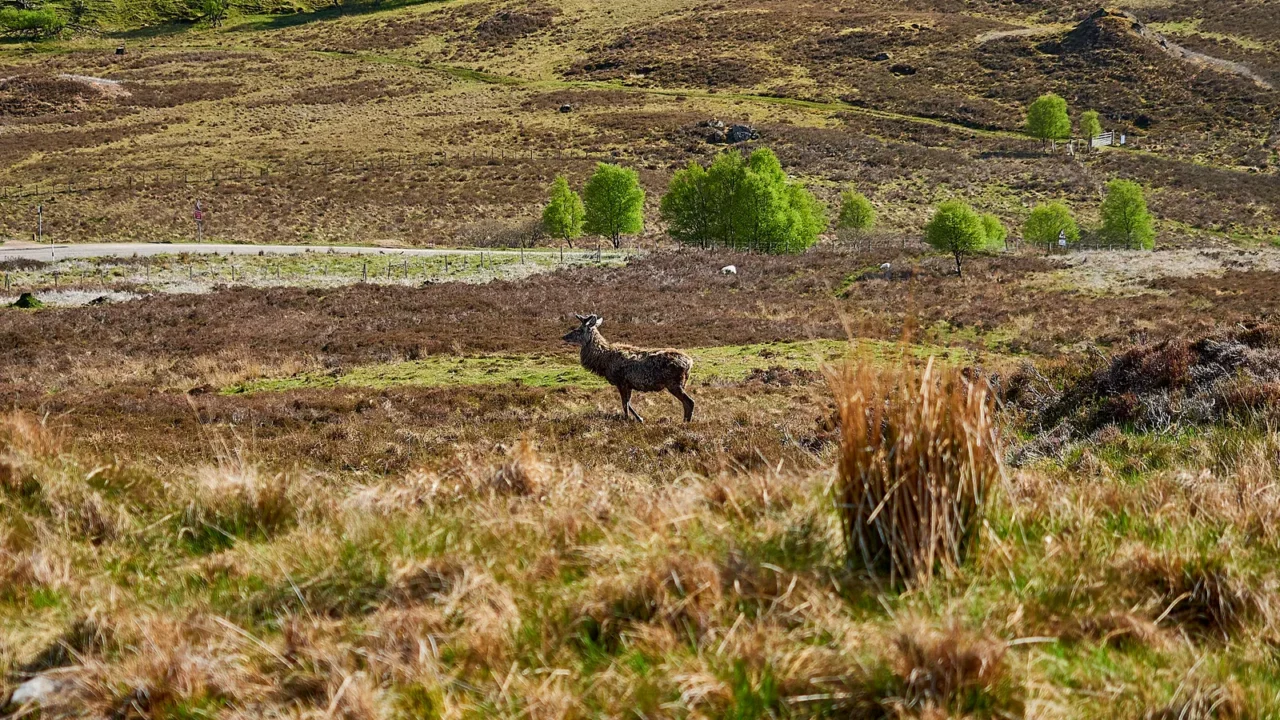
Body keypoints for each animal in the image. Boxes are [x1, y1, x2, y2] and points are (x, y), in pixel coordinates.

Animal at [562, 314, 695, 423]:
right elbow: (628, 403)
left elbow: (624, 404)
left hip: (674, 383)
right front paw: (639, 419)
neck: (603, 362)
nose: (564, 336)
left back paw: (685, 423)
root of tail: (690, 362)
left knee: (690, 402)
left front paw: (627, 420)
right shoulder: (628, 384)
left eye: (579, 330)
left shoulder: (620, 381)